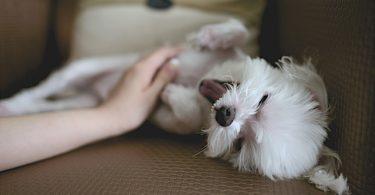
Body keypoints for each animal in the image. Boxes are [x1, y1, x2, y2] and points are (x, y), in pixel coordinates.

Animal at [0, 19, 350, 194]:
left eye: (240, 142)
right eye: (264, 100)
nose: (226, 115)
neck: (203, 78)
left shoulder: (173, 120)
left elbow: (182, 117)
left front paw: (173, 93)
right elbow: (238, 29)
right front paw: (212, 36)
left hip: (85, 102)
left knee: (48, 104)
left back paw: (15, 108)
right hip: (86, 68)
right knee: (55, 82)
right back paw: (13, 101)